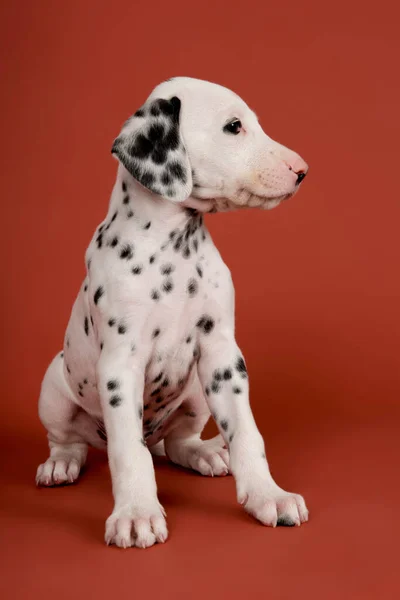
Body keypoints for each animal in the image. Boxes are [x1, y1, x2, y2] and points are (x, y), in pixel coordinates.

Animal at [36, 76, 310, 548]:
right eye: (234, 126)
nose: (302, 169)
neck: (173, 248)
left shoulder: (223, 355)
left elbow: (246, 432)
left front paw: (267, 495)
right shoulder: (120, 365)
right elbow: (128, 452)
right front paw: (136, 513)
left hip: (197, 394)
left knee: (178, 442)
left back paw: (204, 453)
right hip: (54, 387)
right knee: (72, 441)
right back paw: (61, 464)